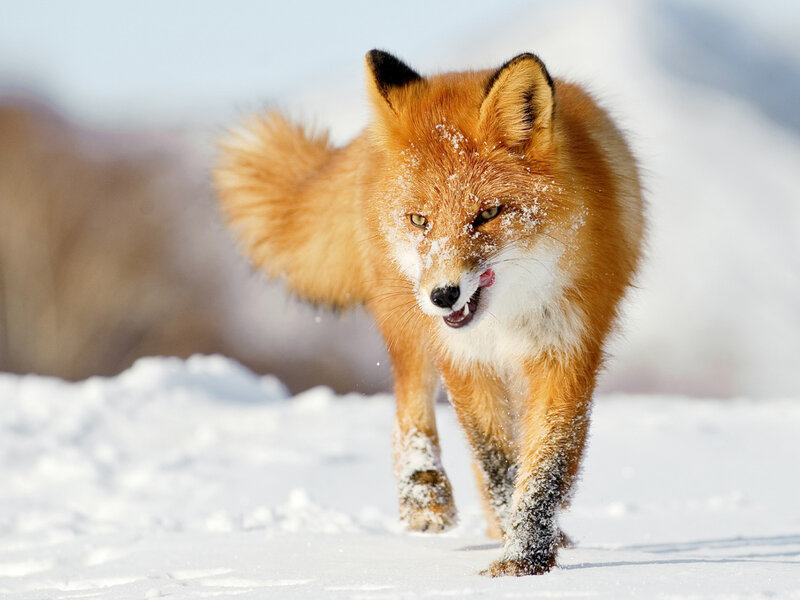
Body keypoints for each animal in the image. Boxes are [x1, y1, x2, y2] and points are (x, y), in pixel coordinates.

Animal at [214, 50, 645, 576]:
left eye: (487, 214)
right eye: (420, 220)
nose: (443, 295)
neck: (507, 319)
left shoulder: (566, 351)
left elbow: (544, 466)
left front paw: (524, 558)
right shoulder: (465, 358)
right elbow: (496, 461)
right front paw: (519, 552)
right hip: (409, 327)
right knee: (410, 408)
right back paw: (425, 498)